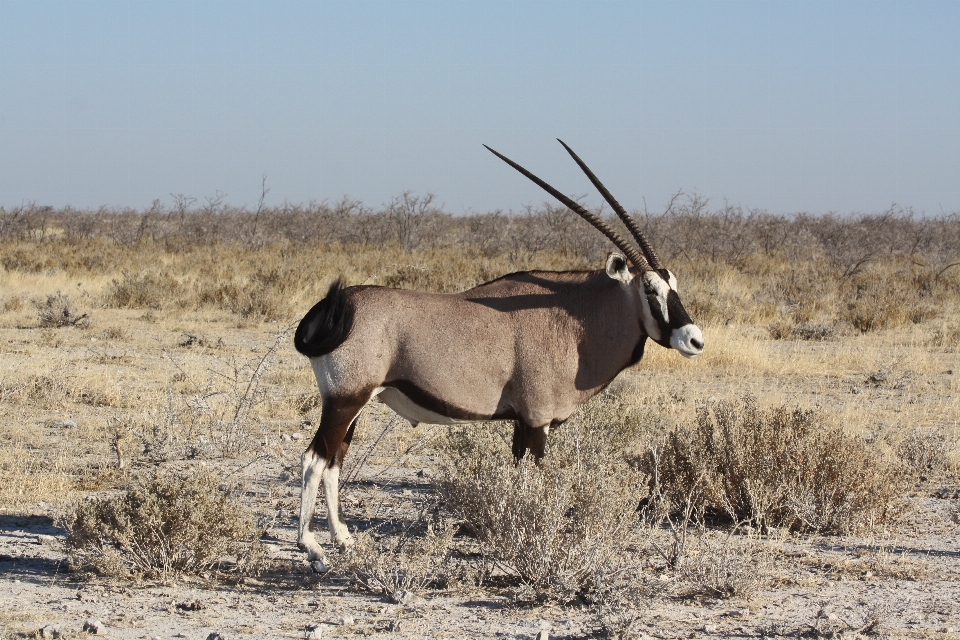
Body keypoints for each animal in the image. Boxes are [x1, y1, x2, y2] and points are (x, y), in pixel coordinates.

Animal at [294, 139, 704, 564]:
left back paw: (343, 538)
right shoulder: (537, 419)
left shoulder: (521, 422)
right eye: (650, 290)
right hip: (345, 400)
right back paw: (311, 546)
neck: (572, 319)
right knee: (314, 458)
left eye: (674, 284)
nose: (694, 339)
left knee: (334, 461)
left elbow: (519, 477)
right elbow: (536, 479)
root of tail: (332, 307)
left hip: (356, 402)